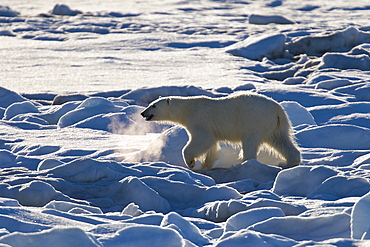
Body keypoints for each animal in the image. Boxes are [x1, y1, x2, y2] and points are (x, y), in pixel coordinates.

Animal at [141, 93, 300, 170]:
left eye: (153, 105)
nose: (143, 113)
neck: (188, 109)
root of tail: (278, 110)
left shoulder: (199, 120)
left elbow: (202, 140)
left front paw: (191, 163)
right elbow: (211, 145)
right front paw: (206, 164)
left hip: (254, 121)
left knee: (250, 142)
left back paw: (245, 163)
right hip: (276, 126)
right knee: (281, 141)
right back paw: (288, 162)